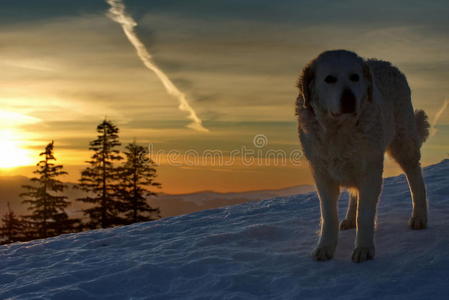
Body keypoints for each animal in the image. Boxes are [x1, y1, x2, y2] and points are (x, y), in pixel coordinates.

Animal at [296, 50, 428, 264]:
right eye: (329, 79)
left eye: (355, 77)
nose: (349, 99)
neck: (340, 130)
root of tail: (385, 62)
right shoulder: (322, 173)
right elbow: (329, 215)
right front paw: (325, 247)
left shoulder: (370, 170)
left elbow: (365, 215)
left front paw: (364, 248)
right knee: (354, 193)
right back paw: (349, 219)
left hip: (403, 144)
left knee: (415, 179)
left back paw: (419, 217)